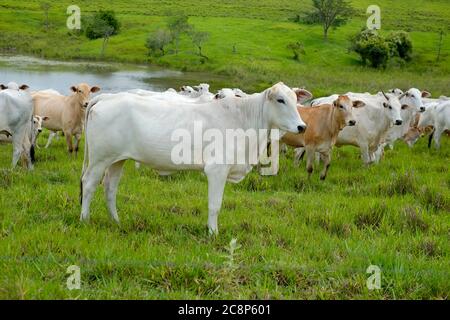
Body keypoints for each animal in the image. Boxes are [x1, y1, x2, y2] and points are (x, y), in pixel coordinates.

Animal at [80, 82, 306, 235]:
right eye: (281, 100)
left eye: (296, 101)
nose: (302, 127)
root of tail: (107, 98)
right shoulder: (217, 170)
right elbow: (215, 205)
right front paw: (213, 233)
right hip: (99, 159)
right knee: (89, 184)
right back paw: (85, 219)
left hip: (117, 160)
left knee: (110, 188)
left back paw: (116, 221)